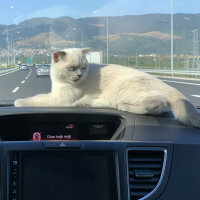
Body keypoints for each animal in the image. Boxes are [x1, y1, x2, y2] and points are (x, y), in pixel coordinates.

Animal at [14, 47, 200, 127]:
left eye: (83, 67)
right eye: (71, 68)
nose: (80, 75)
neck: (59, 81)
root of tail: (162, 82)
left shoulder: (60, 99)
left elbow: (35, 99)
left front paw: (17, 102)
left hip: (123, 90)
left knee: (159, 103)